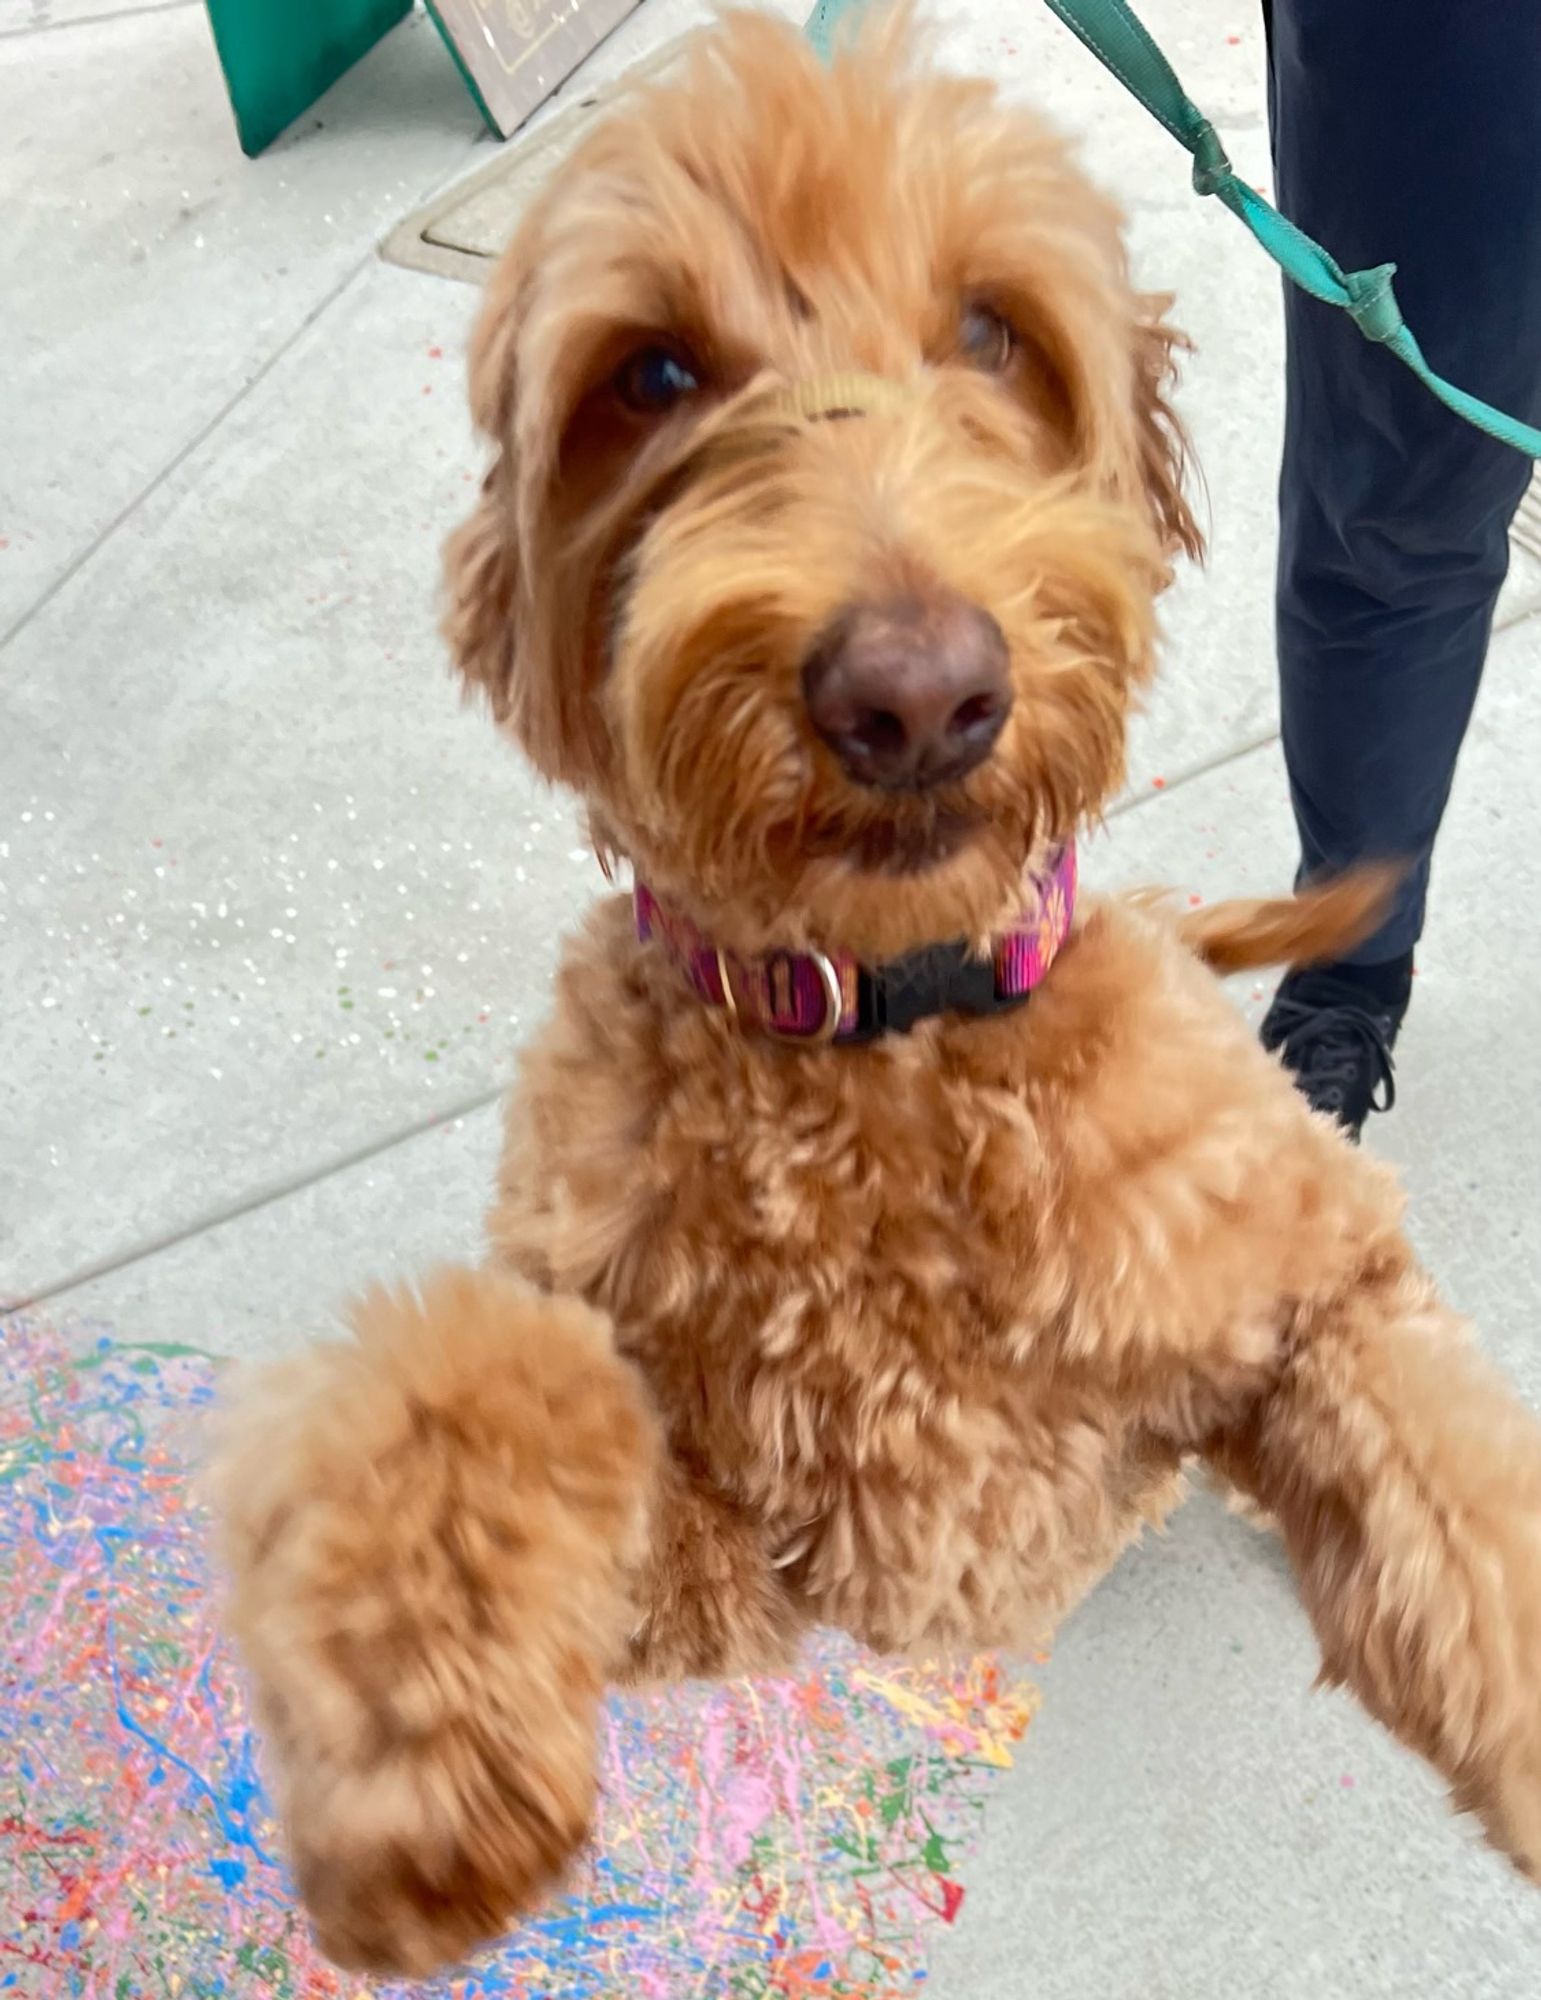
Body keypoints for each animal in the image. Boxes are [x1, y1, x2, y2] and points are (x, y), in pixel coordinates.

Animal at [210, 11, 1536, 1984]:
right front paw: (418, 1768)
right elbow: (472, 1386)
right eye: (651, 373)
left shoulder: (1303, 1270)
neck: (886, 1039)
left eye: (991, 330)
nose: (914, 695)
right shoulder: (731, 1580)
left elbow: (1455, 1470)